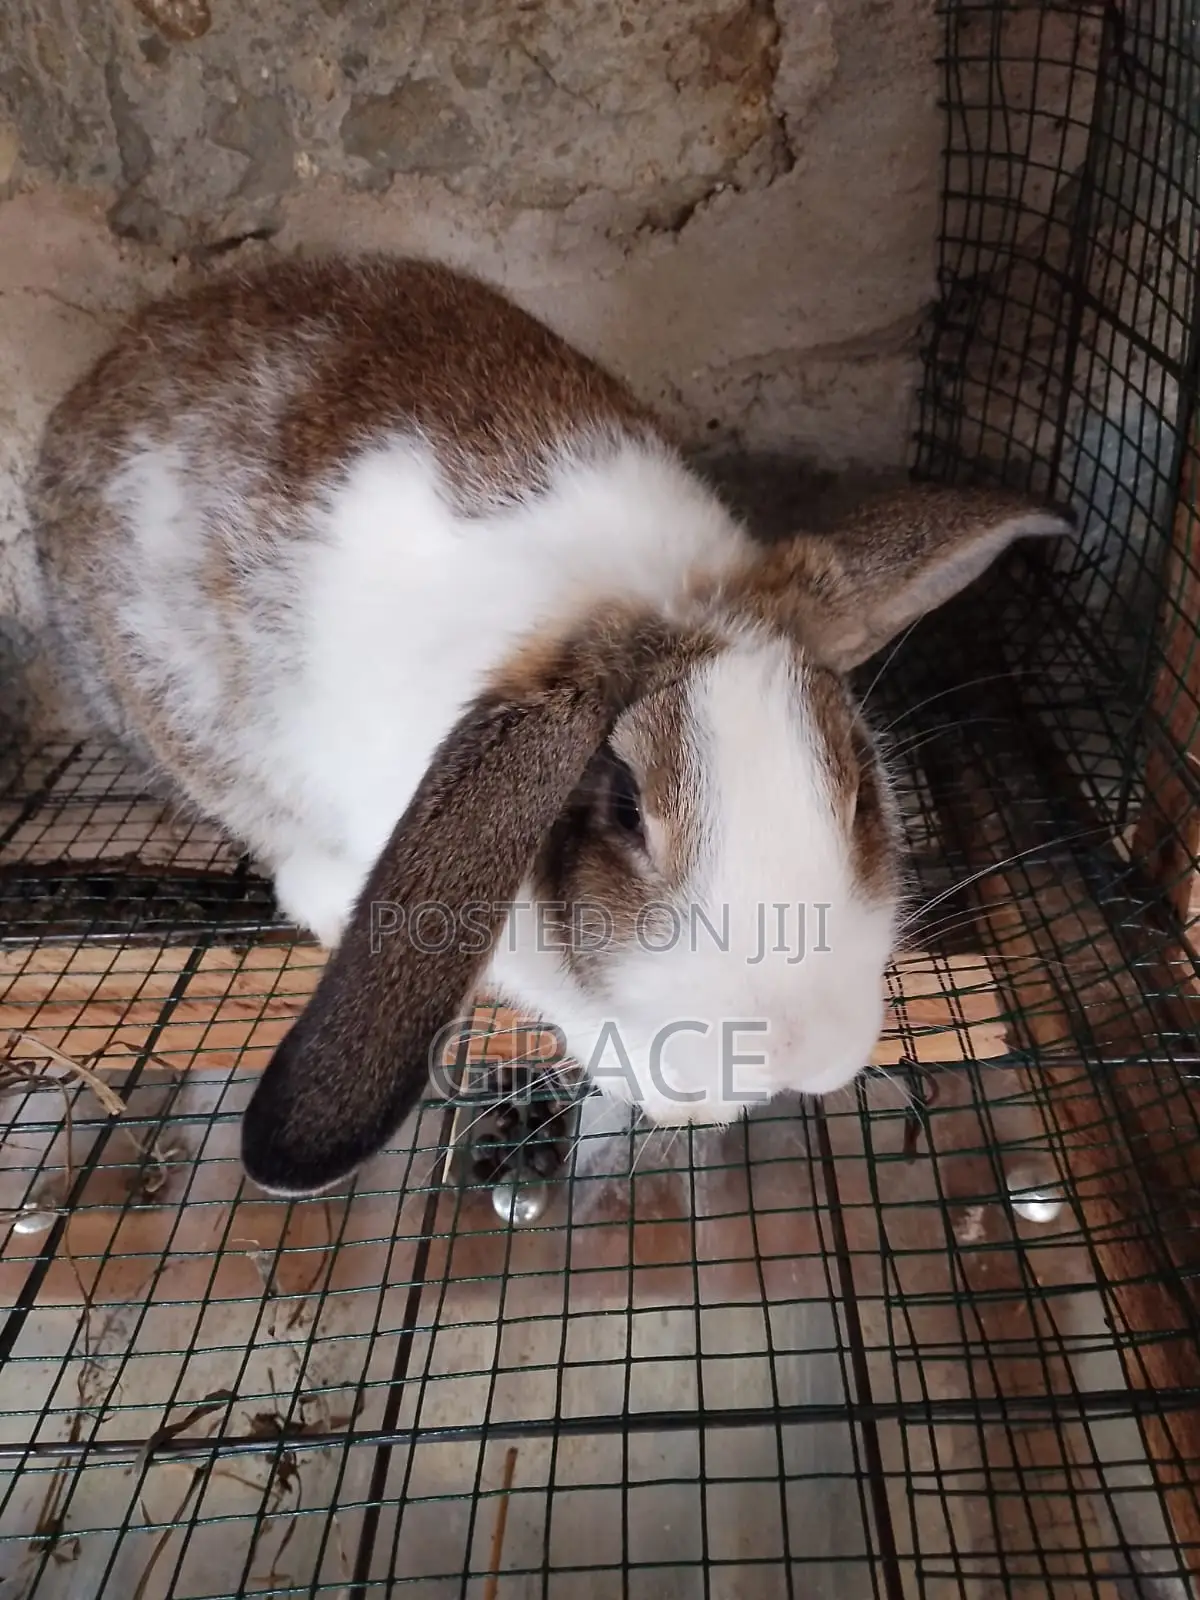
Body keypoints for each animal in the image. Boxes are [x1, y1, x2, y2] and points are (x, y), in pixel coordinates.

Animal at [28, 251, 1075, 1198]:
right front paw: (686, 1100)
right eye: (624, 811)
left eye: (860, 786)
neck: (639, 598)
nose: (796, 1052)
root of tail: (114, 363)